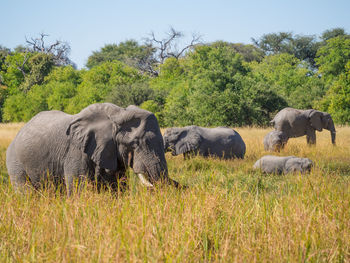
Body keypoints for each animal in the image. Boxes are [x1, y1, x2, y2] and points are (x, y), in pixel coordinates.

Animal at [5, 103, 180, 196]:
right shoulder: (76, 151)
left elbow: (117, 188)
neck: (117, 115)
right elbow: (79, 190)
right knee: (25, 192)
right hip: (15, 162)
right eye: (135, 143)